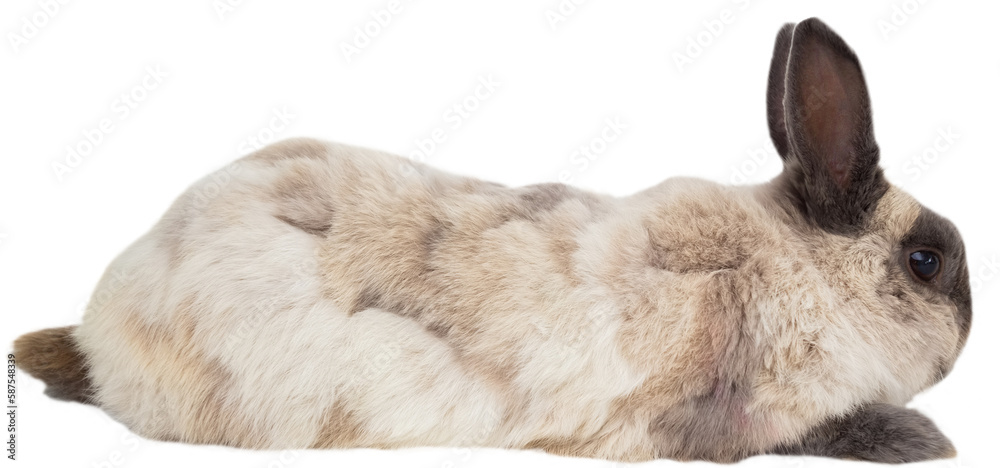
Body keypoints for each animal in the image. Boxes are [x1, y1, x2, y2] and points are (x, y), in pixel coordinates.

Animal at [14, 17, 970, 463]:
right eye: (926, 262)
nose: (967, 335)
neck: (803, 269)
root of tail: (103, 335)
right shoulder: (730, 412)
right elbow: (816, 431)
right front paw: (926, 442)